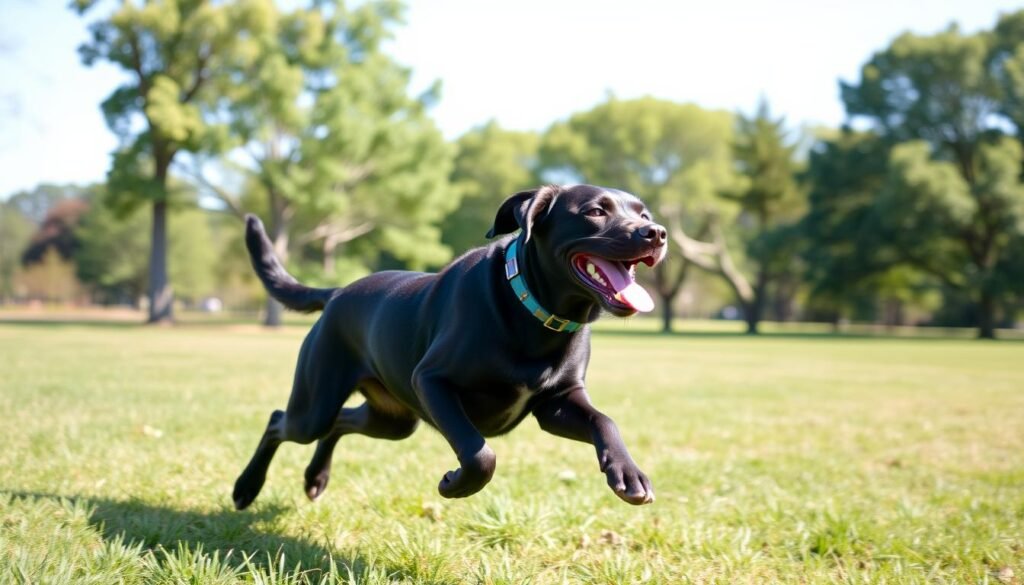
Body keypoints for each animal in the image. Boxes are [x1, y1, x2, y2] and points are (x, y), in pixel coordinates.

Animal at [231, 183, 663, 508]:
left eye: (643, 214)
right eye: (596, 211)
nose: (656, 233)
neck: (534, 312)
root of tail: (336, 292)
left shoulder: (558, 403)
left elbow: (604, 420)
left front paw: (629, 473)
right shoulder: (431, 381)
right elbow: (479, 453)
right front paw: (456, 484)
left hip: (392, 419)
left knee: (340, 423)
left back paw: (314, 478)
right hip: (316, 403)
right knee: (279, 420)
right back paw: (245, 488)